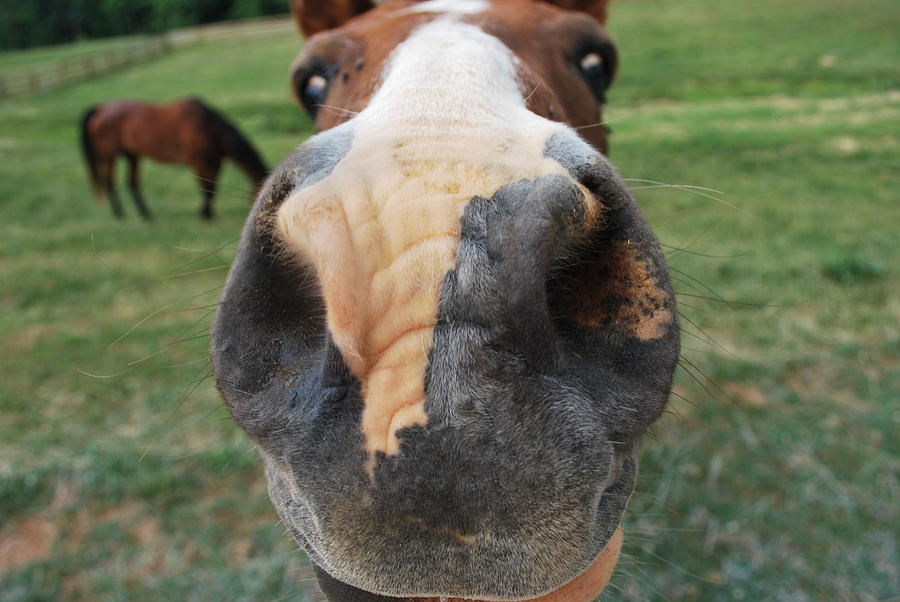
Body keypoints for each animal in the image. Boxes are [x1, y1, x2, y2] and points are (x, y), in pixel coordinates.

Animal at [80, 97, 268, 219]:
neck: (207, 127)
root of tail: (100, 109)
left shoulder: (215, 163)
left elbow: (211, 188)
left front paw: (207, 213)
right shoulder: (199, 163)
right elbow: (205, 188)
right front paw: (204, 215)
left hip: (132, 156)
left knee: (132, 182)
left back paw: (146, 214)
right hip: (109, 157)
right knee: (109, 181)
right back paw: (119, 214)